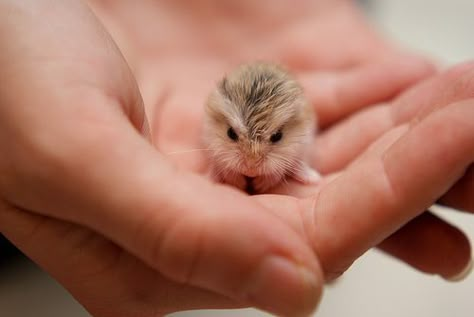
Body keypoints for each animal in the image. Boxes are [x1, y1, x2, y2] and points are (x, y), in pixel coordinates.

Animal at [202, 61, 320, 193]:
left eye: (277, 136)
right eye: (231, 133)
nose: (251, 171)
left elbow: (278, 171)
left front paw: (259, 185)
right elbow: (225, 166)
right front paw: (240, 183)